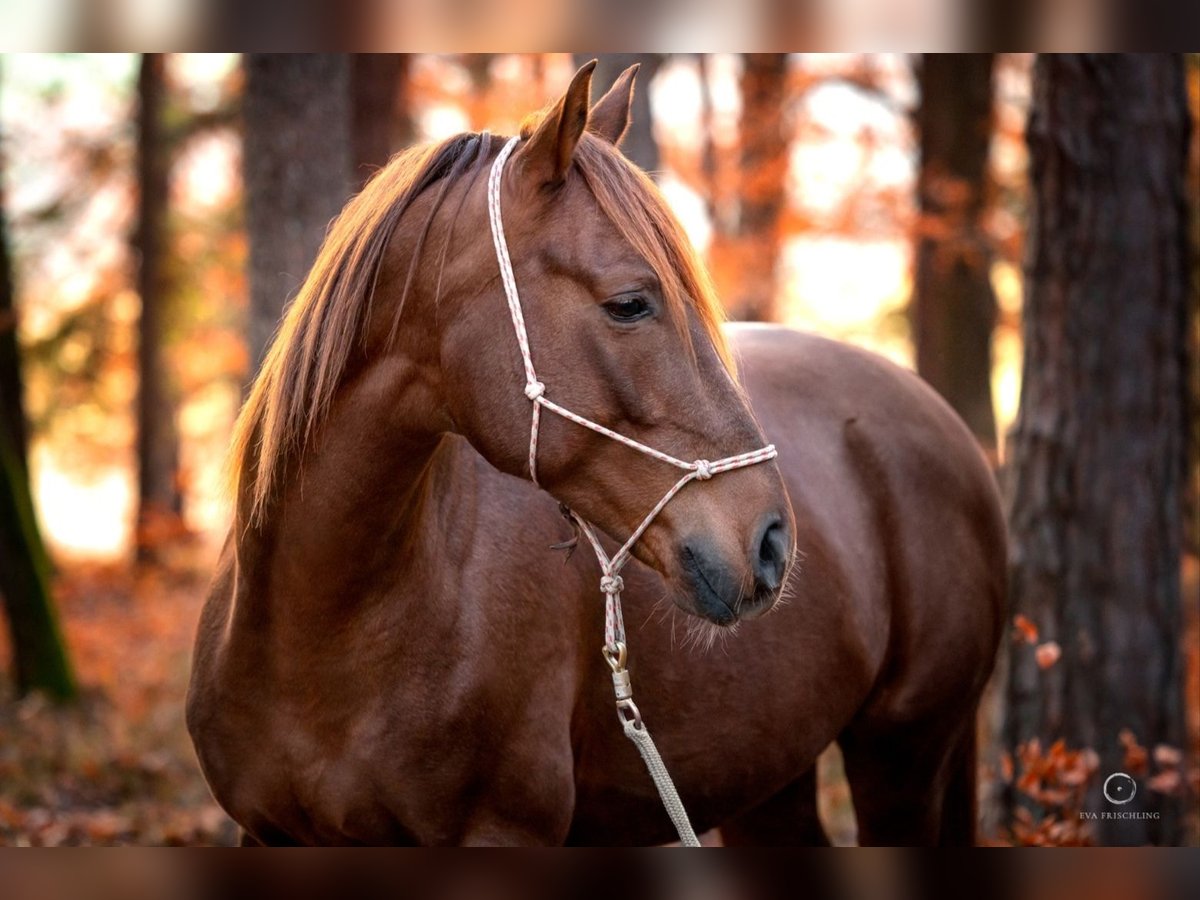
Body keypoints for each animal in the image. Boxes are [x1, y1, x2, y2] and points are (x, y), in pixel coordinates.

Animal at [187, 62, 1006, 846]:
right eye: (630, 303)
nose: (772, 542)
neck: (322, 634)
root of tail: (939, 415)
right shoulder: (265, 834)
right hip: (772, 776)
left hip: (903, 755)